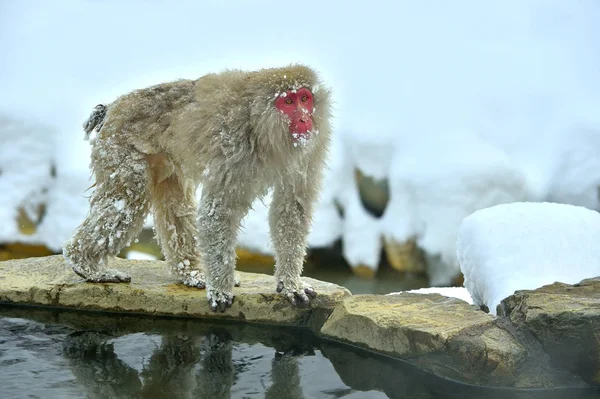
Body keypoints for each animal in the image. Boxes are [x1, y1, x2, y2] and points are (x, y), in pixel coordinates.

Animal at [63, 65, 336, 312]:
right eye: (288, 101)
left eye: (305, 98)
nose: (304, 118)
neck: (261, 126)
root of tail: (113, 106)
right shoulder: (234, 146)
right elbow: (218, 213)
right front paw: (221, 289)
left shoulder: (309, 150)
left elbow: (291, 208)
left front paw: (290, 284)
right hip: (119, 147)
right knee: (128, 200)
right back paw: (85, 265)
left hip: (163, 158)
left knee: (173, 204)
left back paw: (191, 273)